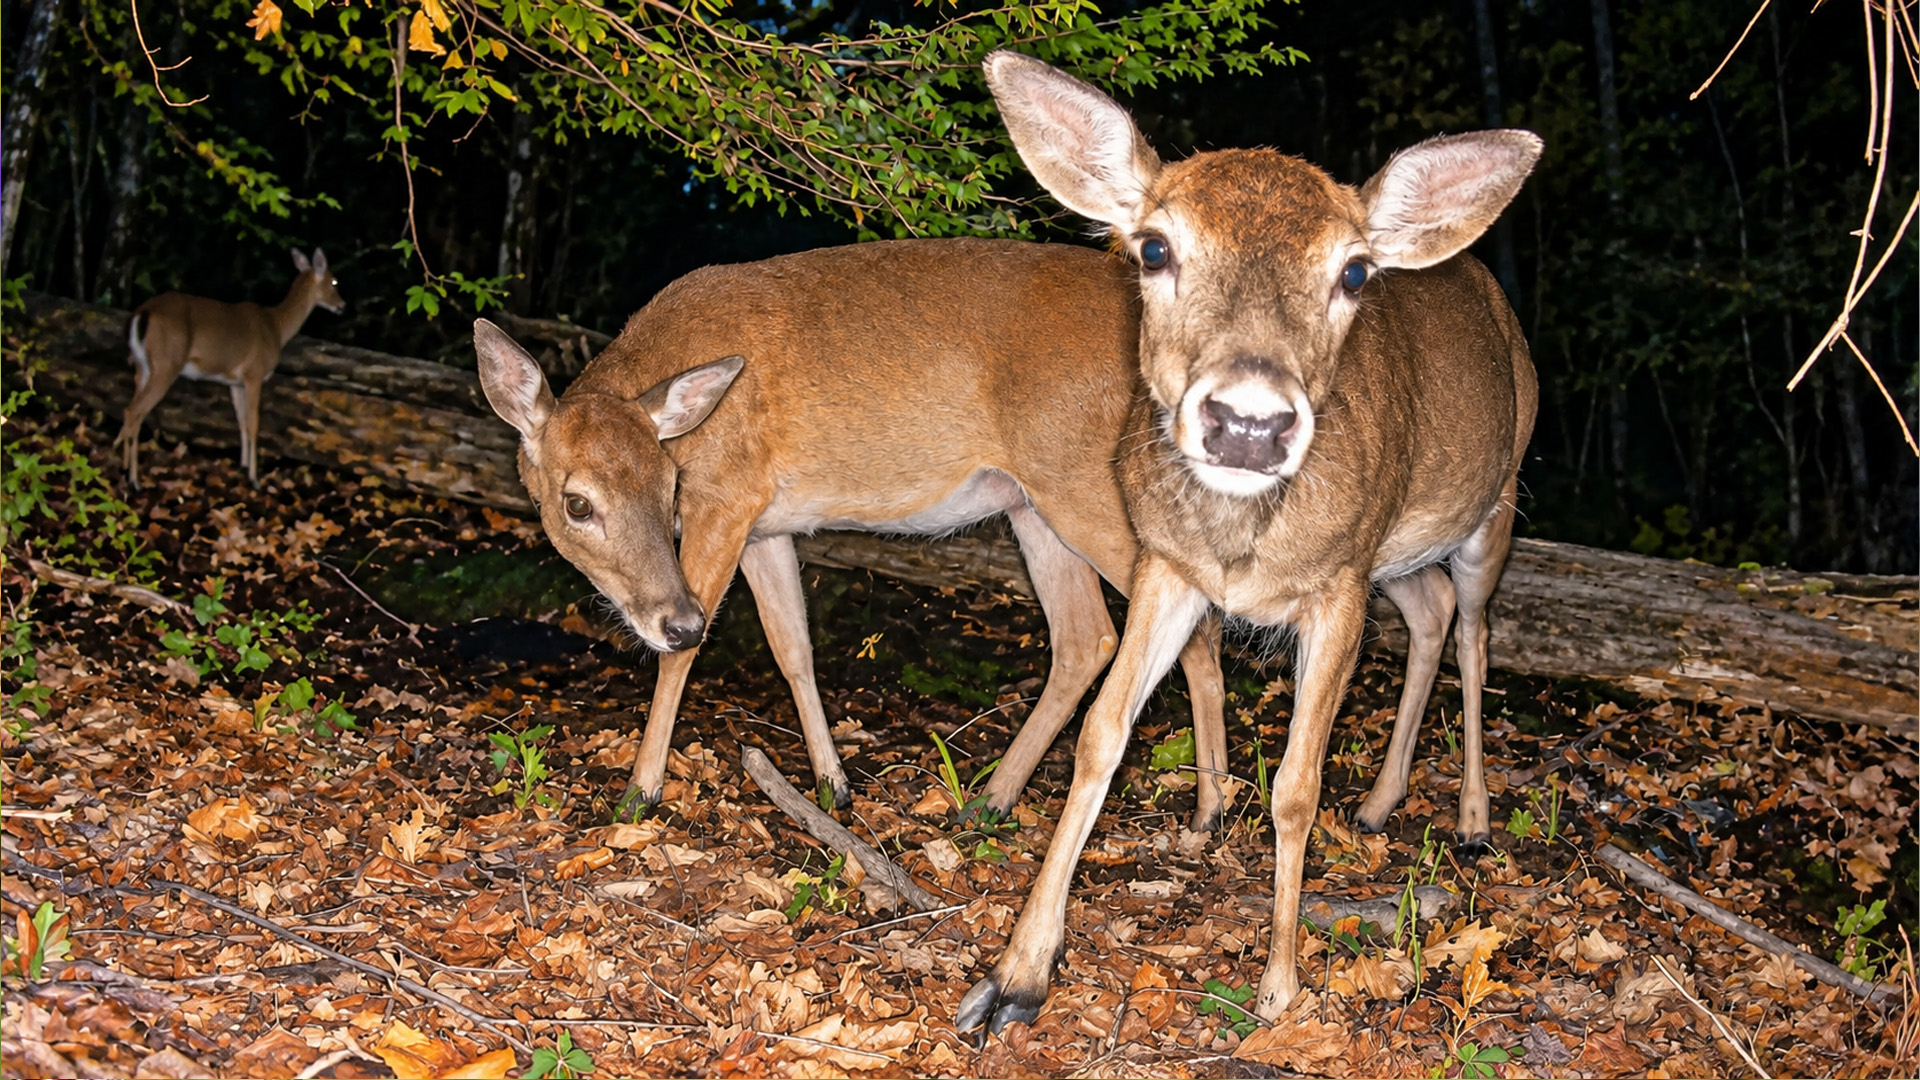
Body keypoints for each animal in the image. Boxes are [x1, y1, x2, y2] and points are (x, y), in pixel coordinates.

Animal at [115, 248, 344, 489]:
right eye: (334, 281)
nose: (342, 306)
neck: (277, 327)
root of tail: (142, 312)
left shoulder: (235, 382)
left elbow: (241, 421)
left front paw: (243, 466)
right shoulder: (254, 373)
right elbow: (254, 423)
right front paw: (254, 478)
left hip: (142, 366)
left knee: (130, 410)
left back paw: (124, 468)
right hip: (166, 364)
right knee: (135, 411)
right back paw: (134, 480)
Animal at [471, 237, 1230, 829]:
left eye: (669, 487)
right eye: (578, 504)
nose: (673, 619)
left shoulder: (729, 494)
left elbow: (684, 658)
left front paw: (640, 790)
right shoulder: (764, 525)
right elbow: (793, 648)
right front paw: (832, 784)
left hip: (1086, 484)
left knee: (1190, 622)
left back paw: (1207, 812)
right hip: (1030, 504)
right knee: (1088, 637)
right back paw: (991, 801)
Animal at [956, 51, 1541, 1037]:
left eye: (1354, 272)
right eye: (1154, 247)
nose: (1249, 423)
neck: (1243, 548)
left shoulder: (1338, 584)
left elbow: (1297, 786)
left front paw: (1279, 987)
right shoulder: (1166, 563)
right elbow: (1102, 734)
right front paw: (1016, 976)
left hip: (1492, 504)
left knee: (1474, 629)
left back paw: (1469, 818)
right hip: (1396, 552)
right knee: (1428, 615)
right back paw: (1380, 804)